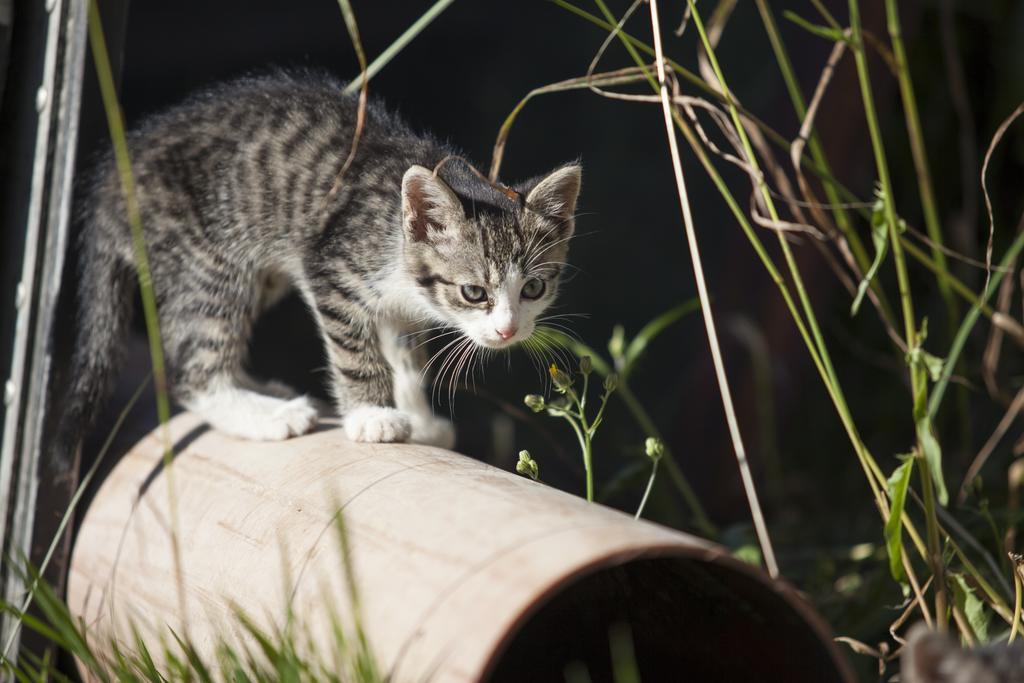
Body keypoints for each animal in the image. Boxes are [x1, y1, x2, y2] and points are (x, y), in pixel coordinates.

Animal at [59, 72, 581, 454]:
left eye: (533, 289)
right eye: (474, 293)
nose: (508, 331)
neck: (395, 234)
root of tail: (111, 181)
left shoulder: (402, 303)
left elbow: (405, 356)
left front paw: (418, 417)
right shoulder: (332, 268)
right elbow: (356, 351)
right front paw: (373, 415)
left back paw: (261, 388)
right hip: (210, 259)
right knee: (191, 365)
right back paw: (265, 415)